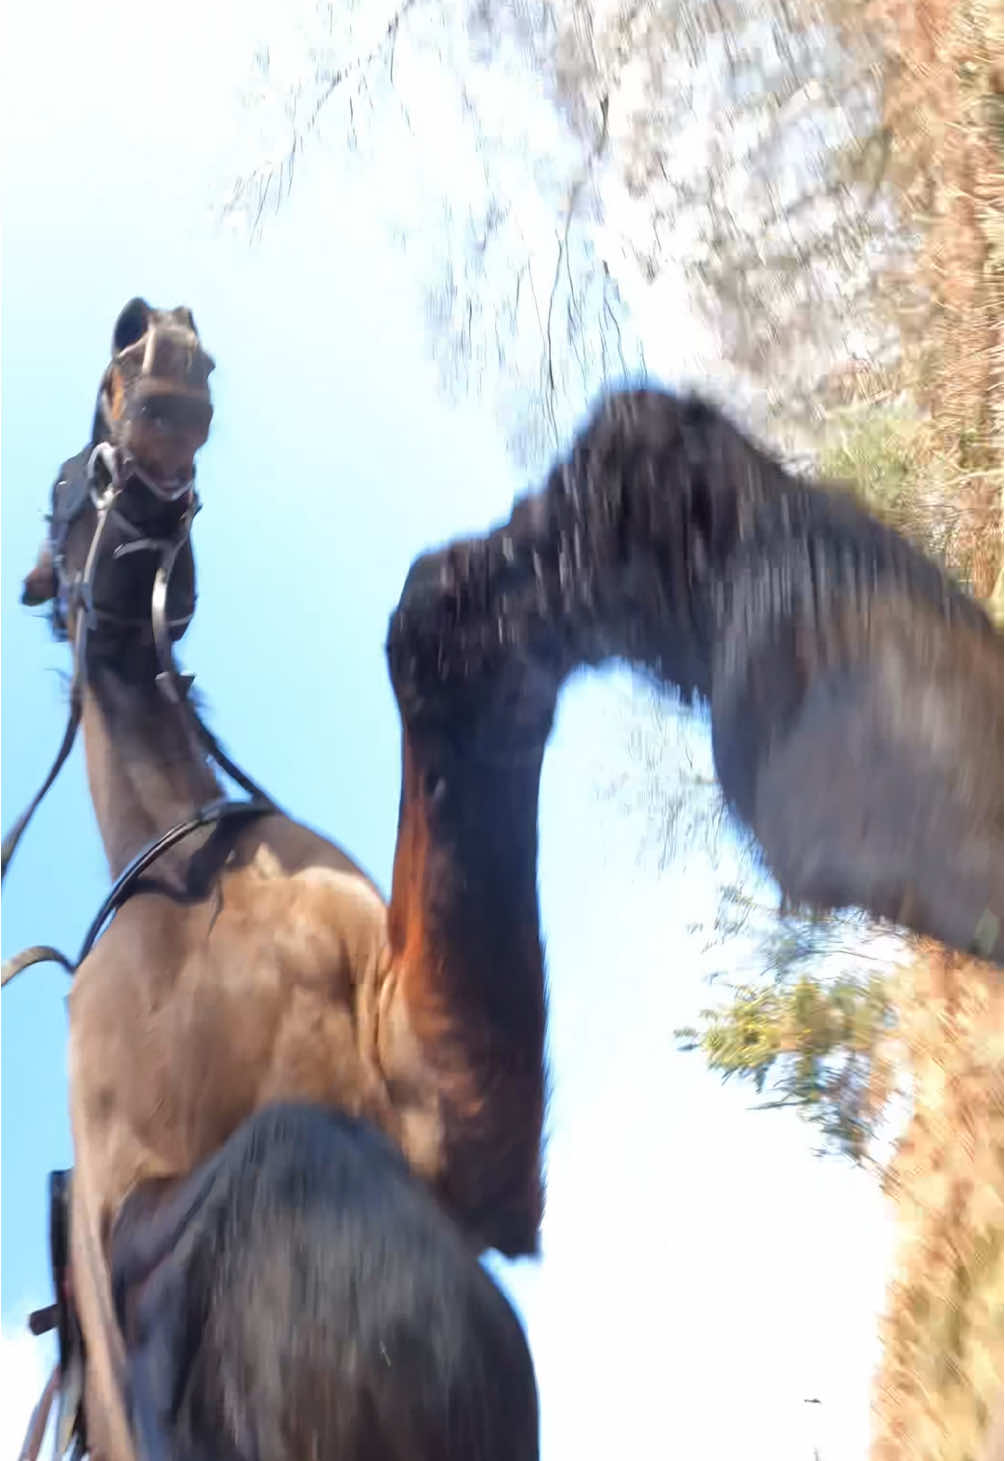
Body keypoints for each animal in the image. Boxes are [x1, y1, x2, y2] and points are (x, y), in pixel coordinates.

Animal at [11, 299, 999, 1461]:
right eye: (63, 486)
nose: (151, 335)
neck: (191, 882)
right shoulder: (134, 1238)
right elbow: (273, 1178)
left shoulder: (450, 1114)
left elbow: (463, 617)